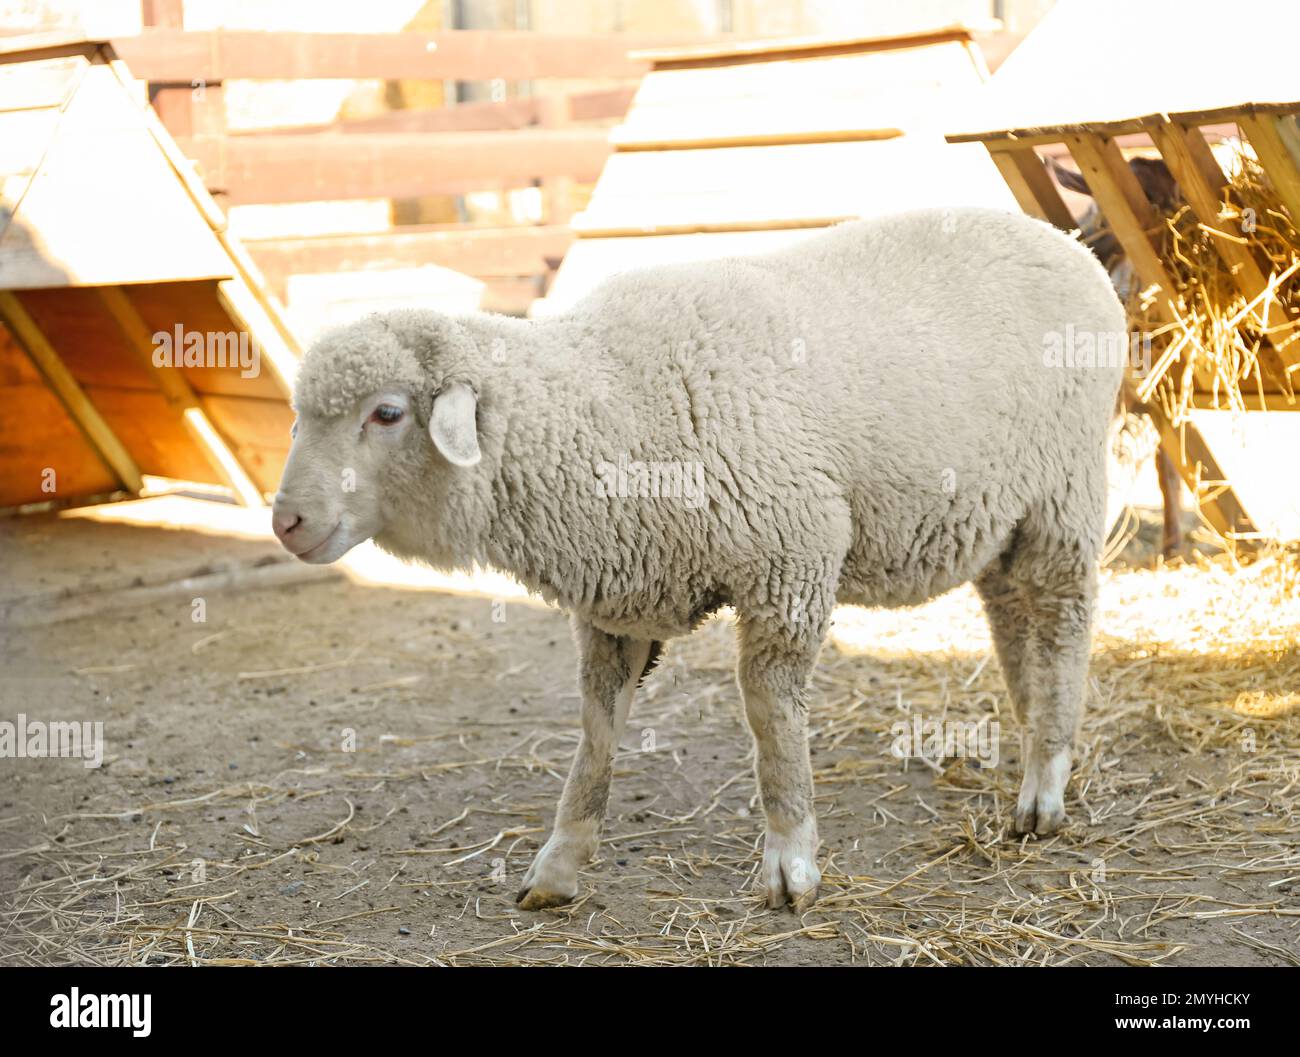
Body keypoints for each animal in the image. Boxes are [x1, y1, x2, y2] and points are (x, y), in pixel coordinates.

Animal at [271, 206, 1126, 911]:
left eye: (386, 413)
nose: (287, 521)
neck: (608, 406)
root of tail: (1069, 245)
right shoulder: (617, 599)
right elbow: (596, 732)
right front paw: (558, 864)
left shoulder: (794, 551)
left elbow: (770, 711)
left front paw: (790, 860)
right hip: (1000, 514)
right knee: (1014, 619)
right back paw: (1033, 744)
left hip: (1063, 490)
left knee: (1064, 620)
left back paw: (1045, 785)